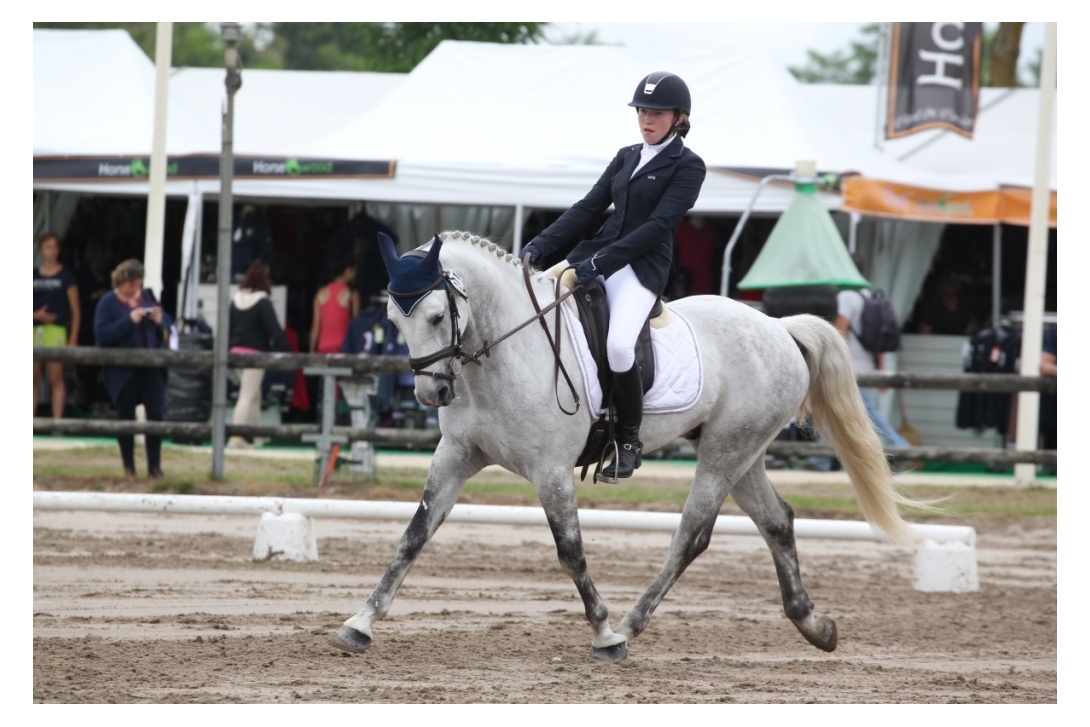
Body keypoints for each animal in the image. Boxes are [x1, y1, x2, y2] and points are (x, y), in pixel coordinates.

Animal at [331, 229, 928, 662]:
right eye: (393, 318)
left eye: (437, 316)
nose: (431, 392)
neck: (501, 354)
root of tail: (778, 327)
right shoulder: (456, 456)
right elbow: (414, 535)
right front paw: (360, 623)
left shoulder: (551, 471)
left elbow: (570, 551)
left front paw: (602, 634)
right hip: (745, 451)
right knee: (777, 520)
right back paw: (814, 624)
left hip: (724, 453)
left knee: (692, 535)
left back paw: (630, 625)